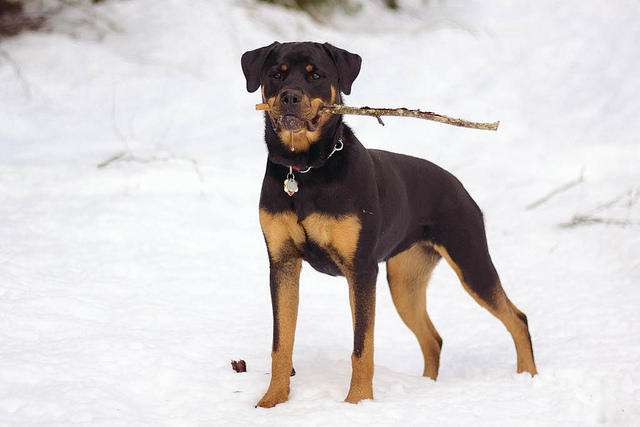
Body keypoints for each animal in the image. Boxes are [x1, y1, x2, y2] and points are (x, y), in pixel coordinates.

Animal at [240, 41, 536, 410]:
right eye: (276, 74)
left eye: (316, 75)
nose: (290, 97)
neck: (305, 171)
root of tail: (459, 186)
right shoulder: (282, 262)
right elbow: (281, 343)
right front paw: (271, 402)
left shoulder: (362, 269)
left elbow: (362, 347)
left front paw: (357, 403)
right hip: (405, 281)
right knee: (433, 339)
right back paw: (426, 388)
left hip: (470, 261)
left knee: (517, 318)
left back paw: (530, 379)